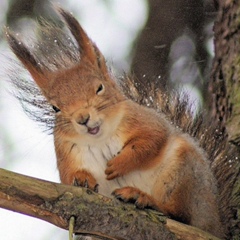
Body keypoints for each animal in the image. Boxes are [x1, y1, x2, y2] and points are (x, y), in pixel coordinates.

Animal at [7, 7, 225, 238]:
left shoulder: (144, 119)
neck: (99, 138)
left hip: (186, 173)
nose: (83, 119)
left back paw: (144, 198)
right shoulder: (65, 150)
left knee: (179, 215)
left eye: (99, 88)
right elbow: (67, 179)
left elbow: (152, 140)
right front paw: (82, 178)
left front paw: (119, 164)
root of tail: (216, 224)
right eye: (55, 108)